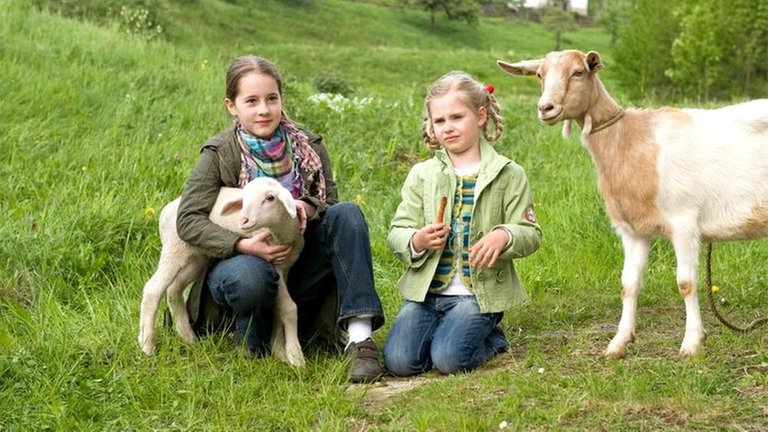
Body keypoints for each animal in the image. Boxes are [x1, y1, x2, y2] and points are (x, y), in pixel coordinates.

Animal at [138, 176, 306, 364]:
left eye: (270, 198)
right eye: (244, 199)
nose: (244, 220)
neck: (282, 233)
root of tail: (165, 211)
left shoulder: (285, 268)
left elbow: (279, 309)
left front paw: (280, 353)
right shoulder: (273, 264)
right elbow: (289, 308)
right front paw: (296, 357)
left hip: (197, 256)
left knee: (174, 289)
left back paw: (188, 338)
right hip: (174, 248)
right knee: (153, 289)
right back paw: (147, 346)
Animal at [498, 49, 768, 358]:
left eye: (578, 72)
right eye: (540, 74)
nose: (546, 108)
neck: (630, 140)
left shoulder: (684, 221)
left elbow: (686, 283)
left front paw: (691, 344)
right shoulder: (632, 229)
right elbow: (629, 285)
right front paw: (618, 343)